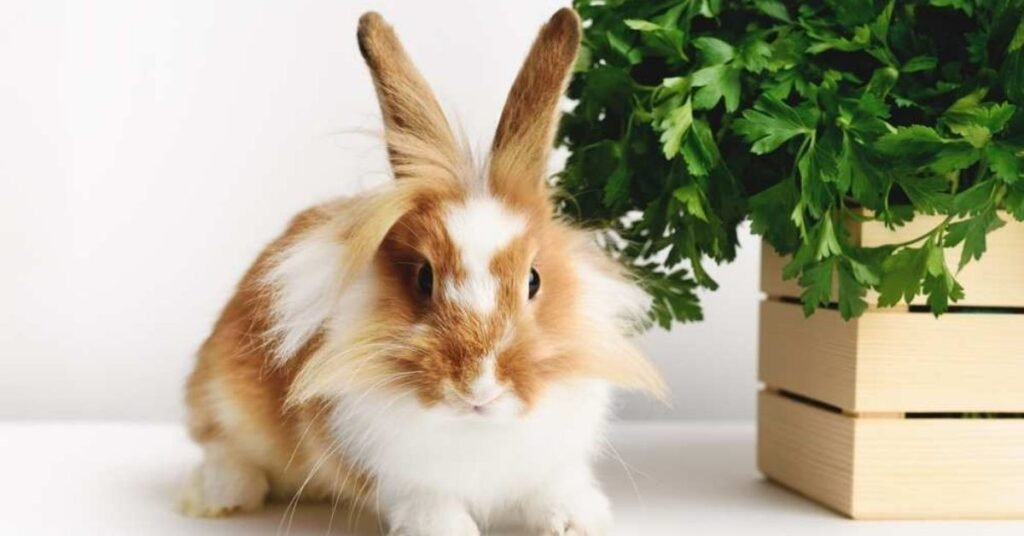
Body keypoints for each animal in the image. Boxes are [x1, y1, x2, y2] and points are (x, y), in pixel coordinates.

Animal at [179, 8, 665, 536]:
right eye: (423, 279)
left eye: (534, 280)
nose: (478, 389)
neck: (477, 429)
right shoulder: (399, 475)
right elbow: (430, 504)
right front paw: (449, 530)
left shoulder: (551, 459)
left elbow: (554, 487)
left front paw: (576, 520)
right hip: (221, 391)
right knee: (223, 445)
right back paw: (222, 495)